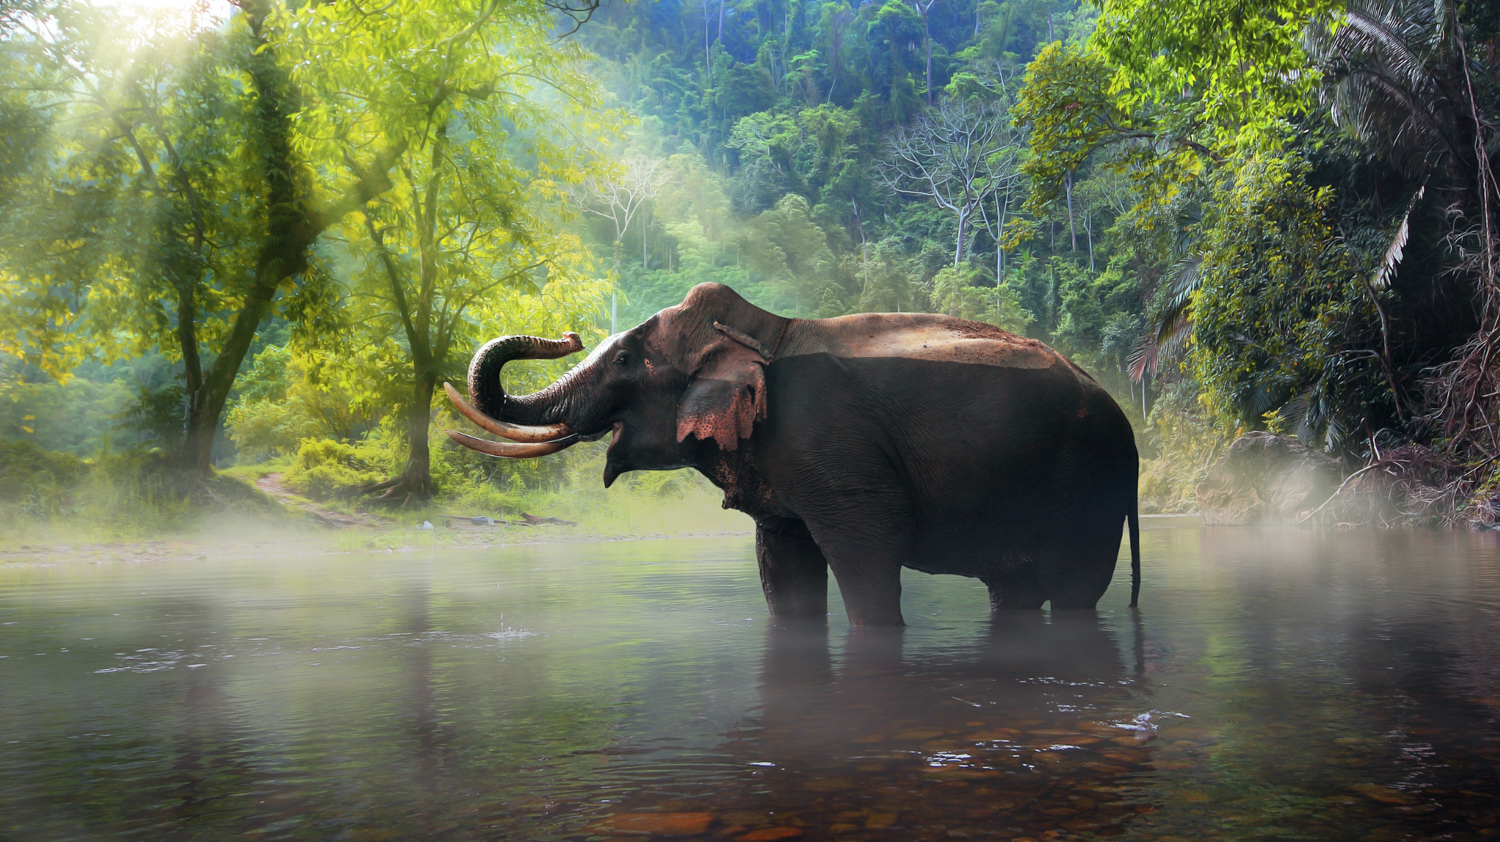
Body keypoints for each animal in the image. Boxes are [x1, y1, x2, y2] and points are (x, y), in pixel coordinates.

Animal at [445, 282, 1140, 627]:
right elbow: (782, 566)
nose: (567, 333)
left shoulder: (834, 449)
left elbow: (868, 553)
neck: (764, 332)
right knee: (1013, 590)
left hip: (1093, 482)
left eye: (622, 360)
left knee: (1077, 591)